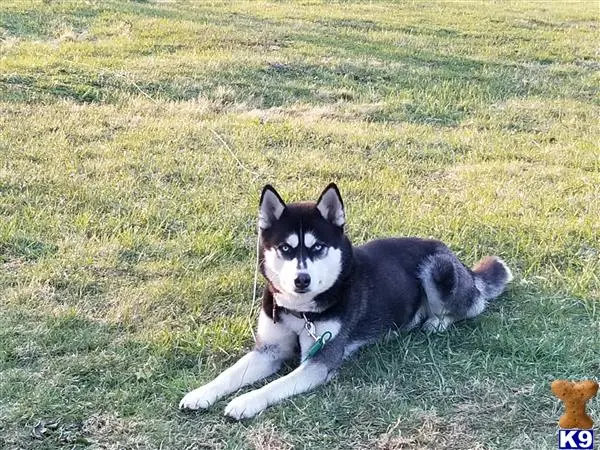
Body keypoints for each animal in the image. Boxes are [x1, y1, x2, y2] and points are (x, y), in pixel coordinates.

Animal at [178, 182, 510, 418]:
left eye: (318, 247)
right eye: (286, 248)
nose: (302, 279)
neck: (301, 314)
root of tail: (460, 262)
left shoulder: (319, 361)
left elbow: (275, 385)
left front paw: (245, 401)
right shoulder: (268, 350)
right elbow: (229, 374)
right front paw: (200, 393)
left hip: (439, 268)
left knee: (473, 304)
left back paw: (436, 323)